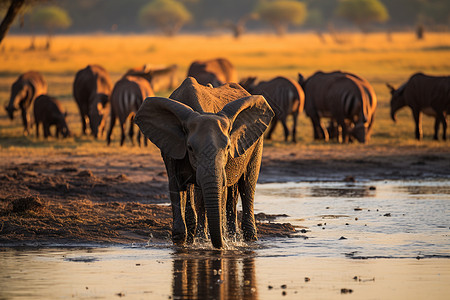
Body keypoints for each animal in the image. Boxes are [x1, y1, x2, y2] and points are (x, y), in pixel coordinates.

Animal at [134, 76, 274, 247]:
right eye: (190, 148)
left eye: (228, 147)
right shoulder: (171, 147)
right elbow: (176, 187)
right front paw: (182, 241)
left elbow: (209, 192)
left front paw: (205, 240)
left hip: (257, 143)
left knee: (247, 185)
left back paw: (248, 239)